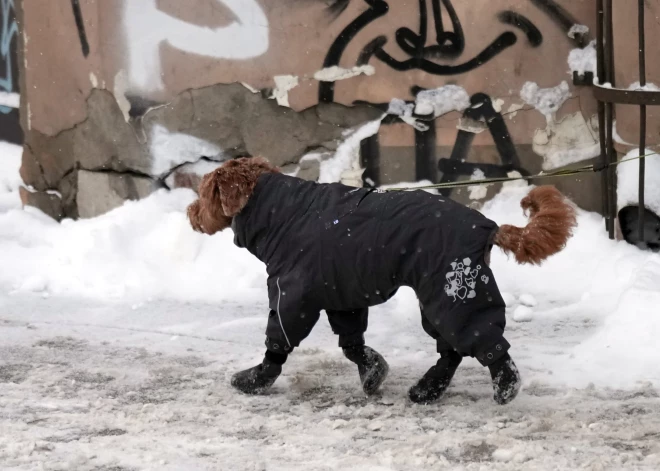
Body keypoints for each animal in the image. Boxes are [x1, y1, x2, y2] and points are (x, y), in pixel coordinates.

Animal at [188, 157, 576, 404]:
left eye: (204, 192)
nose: (191, 213)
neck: (280, 210)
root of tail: (488, 226)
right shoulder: (338, 291)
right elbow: (353, 344)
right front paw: (373, 372)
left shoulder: (291, 291)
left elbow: (279, 338)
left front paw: (257, 378)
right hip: (435, 298)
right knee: (450, 350)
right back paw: (428, 390)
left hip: (454, 292)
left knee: (485, 342)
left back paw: (506, 384)